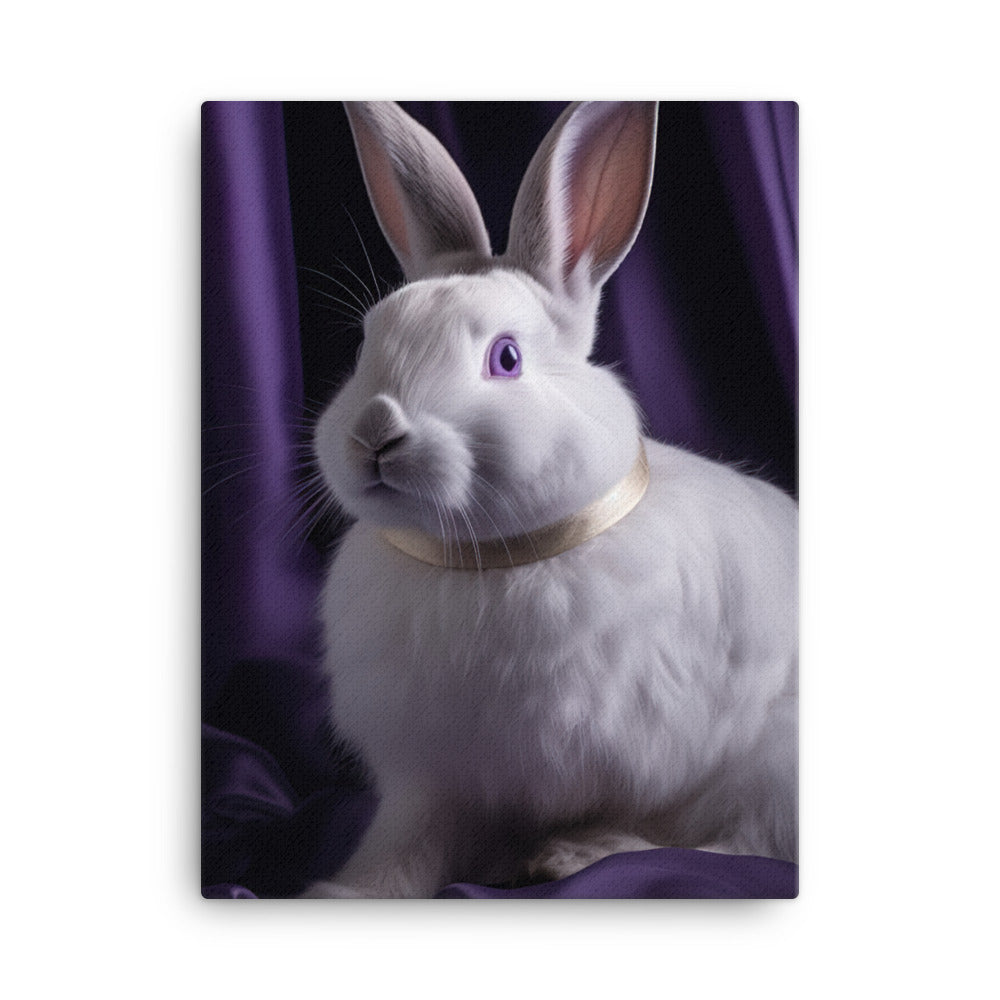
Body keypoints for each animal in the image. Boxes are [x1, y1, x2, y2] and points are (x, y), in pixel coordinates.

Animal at [302, 101, 797, 898]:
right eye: (365, 345)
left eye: (505, 358)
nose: (375, 433)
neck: (487, 558)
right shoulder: (433, 780)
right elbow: (404, 847)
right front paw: (347, 891)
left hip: (776, 762)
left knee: (743, 841)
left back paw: (578, 854)